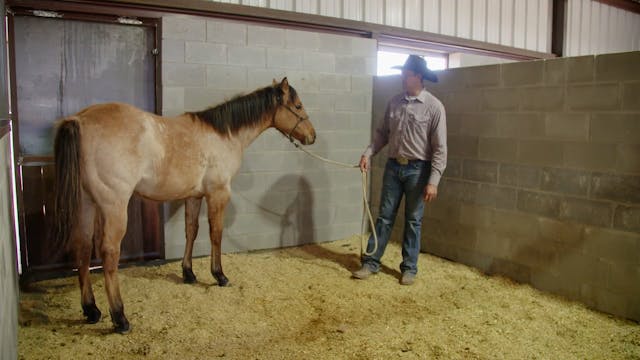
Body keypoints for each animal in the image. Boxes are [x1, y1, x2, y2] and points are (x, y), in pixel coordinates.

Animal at [52, 77, 316, 334]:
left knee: (83, 247)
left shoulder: (194, 196)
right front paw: (219, 275)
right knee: (109, 253)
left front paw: (188, 272)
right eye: (298, 106)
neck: (224, 135)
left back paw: (91, 310)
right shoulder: (218, 194)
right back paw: (120, 317)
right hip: (113, 206)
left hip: (86, 204)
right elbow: (216, 233)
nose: (312, 136)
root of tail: (79, 119)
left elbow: (191, 231)